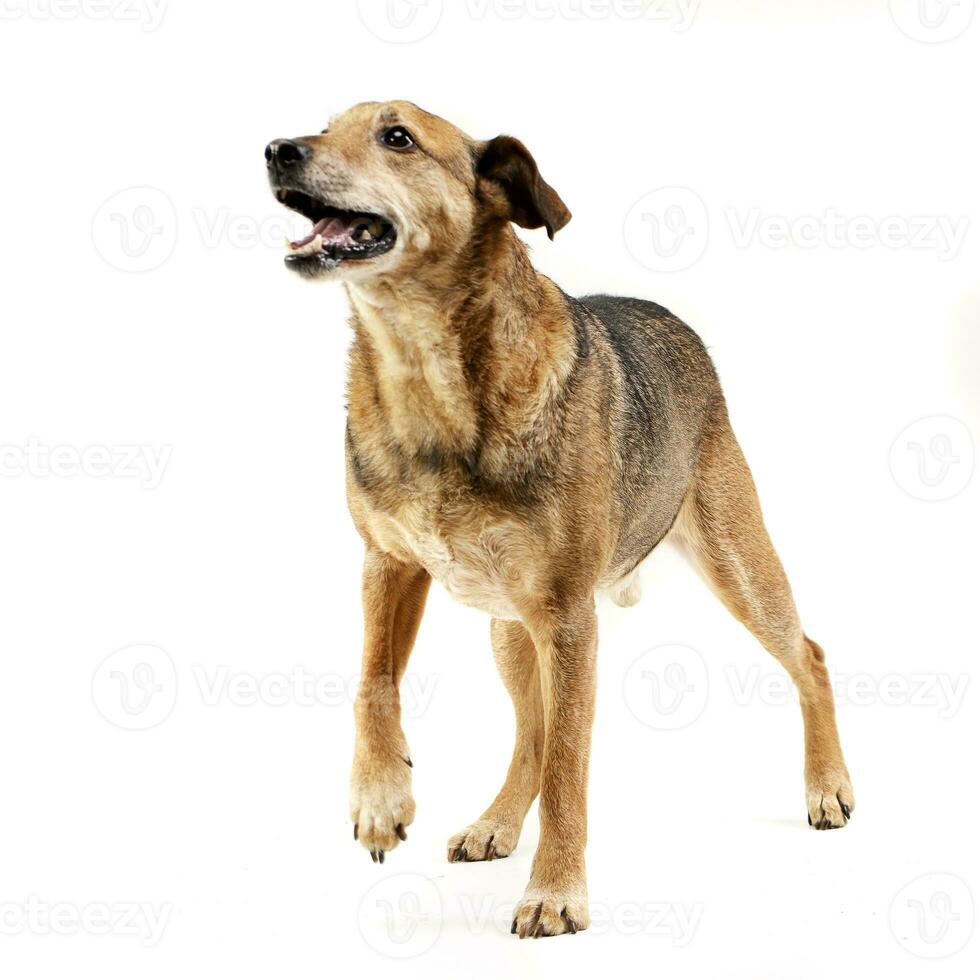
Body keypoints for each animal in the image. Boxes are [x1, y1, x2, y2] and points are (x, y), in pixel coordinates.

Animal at [266, 103, 848, 936]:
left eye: (397, 137)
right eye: (324, 123)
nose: (278, 150)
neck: (426, 369)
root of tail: (676, 322)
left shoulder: (571, 622)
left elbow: (572, 766)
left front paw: (556, 893)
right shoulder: (389, 565)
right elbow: (373, 683)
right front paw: (380, 799)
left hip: (736, 566)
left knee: (809, 656)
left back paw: (827, 786)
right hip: (510, 633)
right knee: (530, 735)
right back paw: (496, 822)